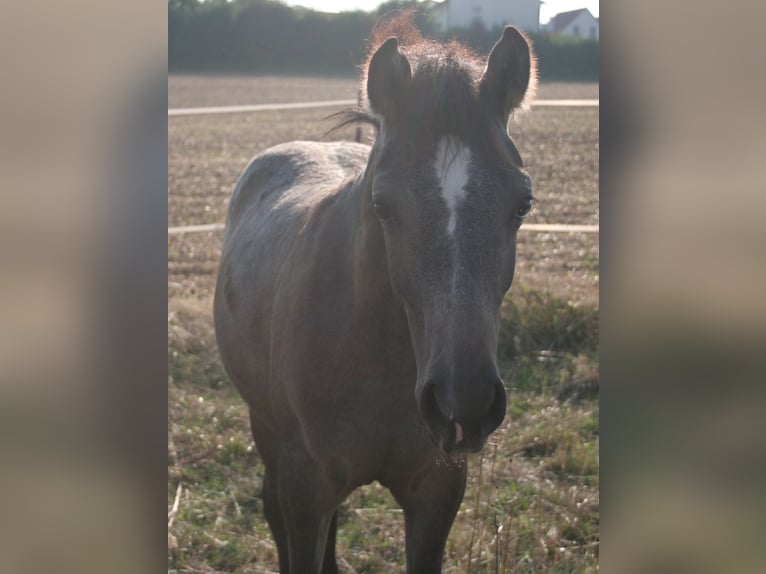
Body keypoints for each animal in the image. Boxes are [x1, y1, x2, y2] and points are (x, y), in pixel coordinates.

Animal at [216, 18, 536, 574]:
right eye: (383, 206)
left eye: (523, 203)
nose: (464, 402)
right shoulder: (305, 489)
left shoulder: (436, 490)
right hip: (266, 430)